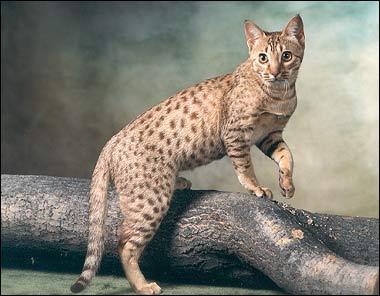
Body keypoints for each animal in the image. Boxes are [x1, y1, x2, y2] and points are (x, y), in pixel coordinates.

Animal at [70, 14, 302, 296]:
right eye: (263, 58)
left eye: (286, 56)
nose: (275, 71)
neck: (278, 94)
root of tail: (112, 140)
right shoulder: (235, 134)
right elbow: (245, 166)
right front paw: (256, 187)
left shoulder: (270, 136)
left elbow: (287, 157)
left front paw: (287, 184)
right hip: (150, 201)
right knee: (124, 242)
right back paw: (142, 285)